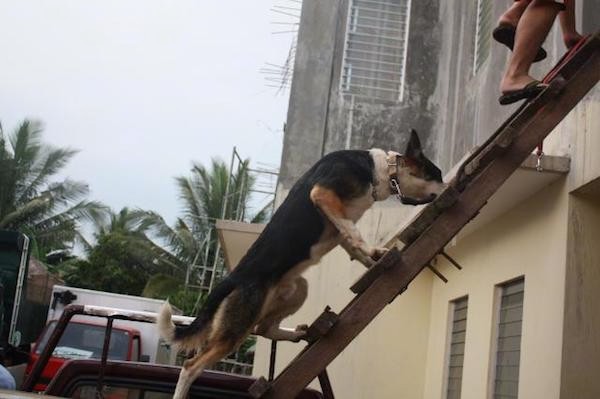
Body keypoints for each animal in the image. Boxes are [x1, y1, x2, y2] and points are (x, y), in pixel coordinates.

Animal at [159, 130, 446, 398]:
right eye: (439, 175)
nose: (446, 187)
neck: (381, 169)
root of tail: (231, 279)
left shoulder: (336, 224)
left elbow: (351, 241)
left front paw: (372, 261)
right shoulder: (323, 195)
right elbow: (354, 233)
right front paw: (374, 251)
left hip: (296, 291)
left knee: (264, 328)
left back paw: (296, 335)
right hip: (235, 329)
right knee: (191, 366)